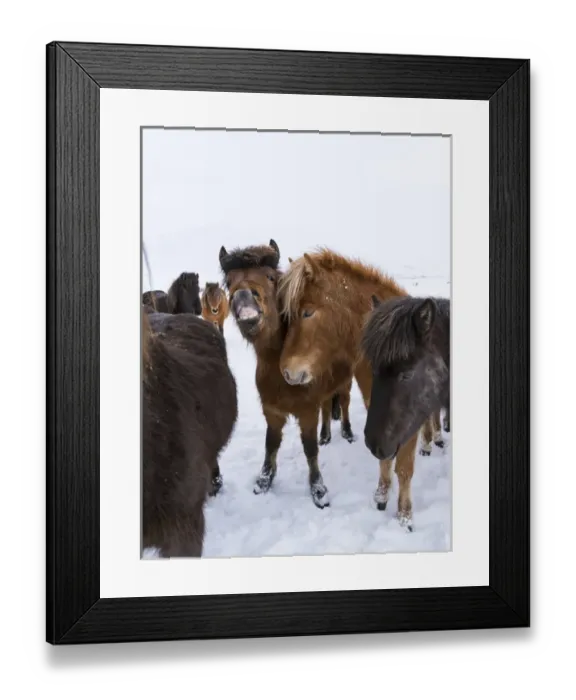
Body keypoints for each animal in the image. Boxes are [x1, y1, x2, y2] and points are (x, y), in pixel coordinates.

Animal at [218, 239, 354, 510]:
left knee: (343, 402)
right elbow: (270, 444)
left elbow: (310, 449)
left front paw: (318, 490)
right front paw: (264, 481)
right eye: (229, 282)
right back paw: (326, 435)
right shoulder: (272, 411)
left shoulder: (306, 411)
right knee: (327, 406)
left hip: (345, 383)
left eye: (271, 277)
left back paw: (346, 432)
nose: (244, 300)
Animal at [277, 247, 433, 531]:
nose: (287, 372)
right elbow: (385, 457)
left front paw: (404, 516)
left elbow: (404, 467)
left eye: (307, 312)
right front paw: (381, 495)